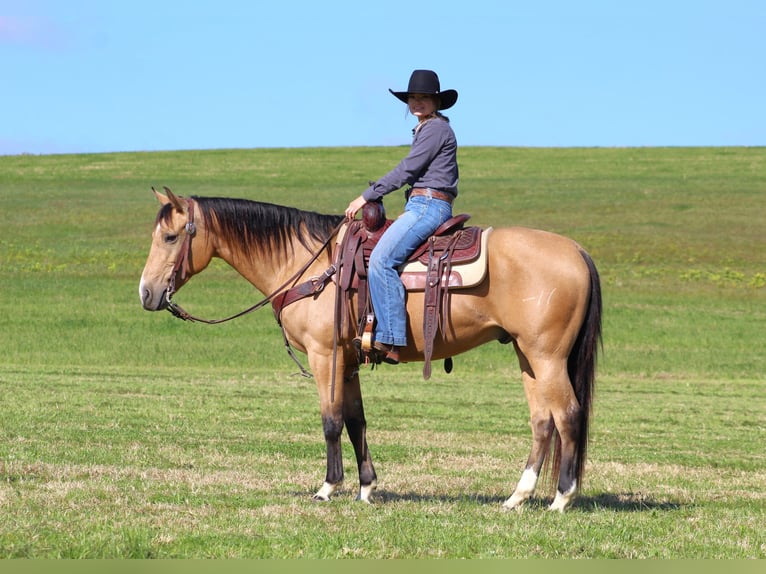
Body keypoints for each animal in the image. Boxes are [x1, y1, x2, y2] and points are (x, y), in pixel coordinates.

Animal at [141, 188, 604, 512]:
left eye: (170, 236)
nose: (146, 294)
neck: (314, 266)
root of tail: (577, 250)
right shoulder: (348, 361)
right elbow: (356, 421)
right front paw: (366, 487)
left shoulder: (325, 355)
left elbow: (330, 421)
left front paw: (328, 487)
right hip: (528, 357)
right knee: (542, 421)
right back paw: (517, 497)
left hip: (547, 357)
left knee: (567, 415)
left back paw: (561, 498)